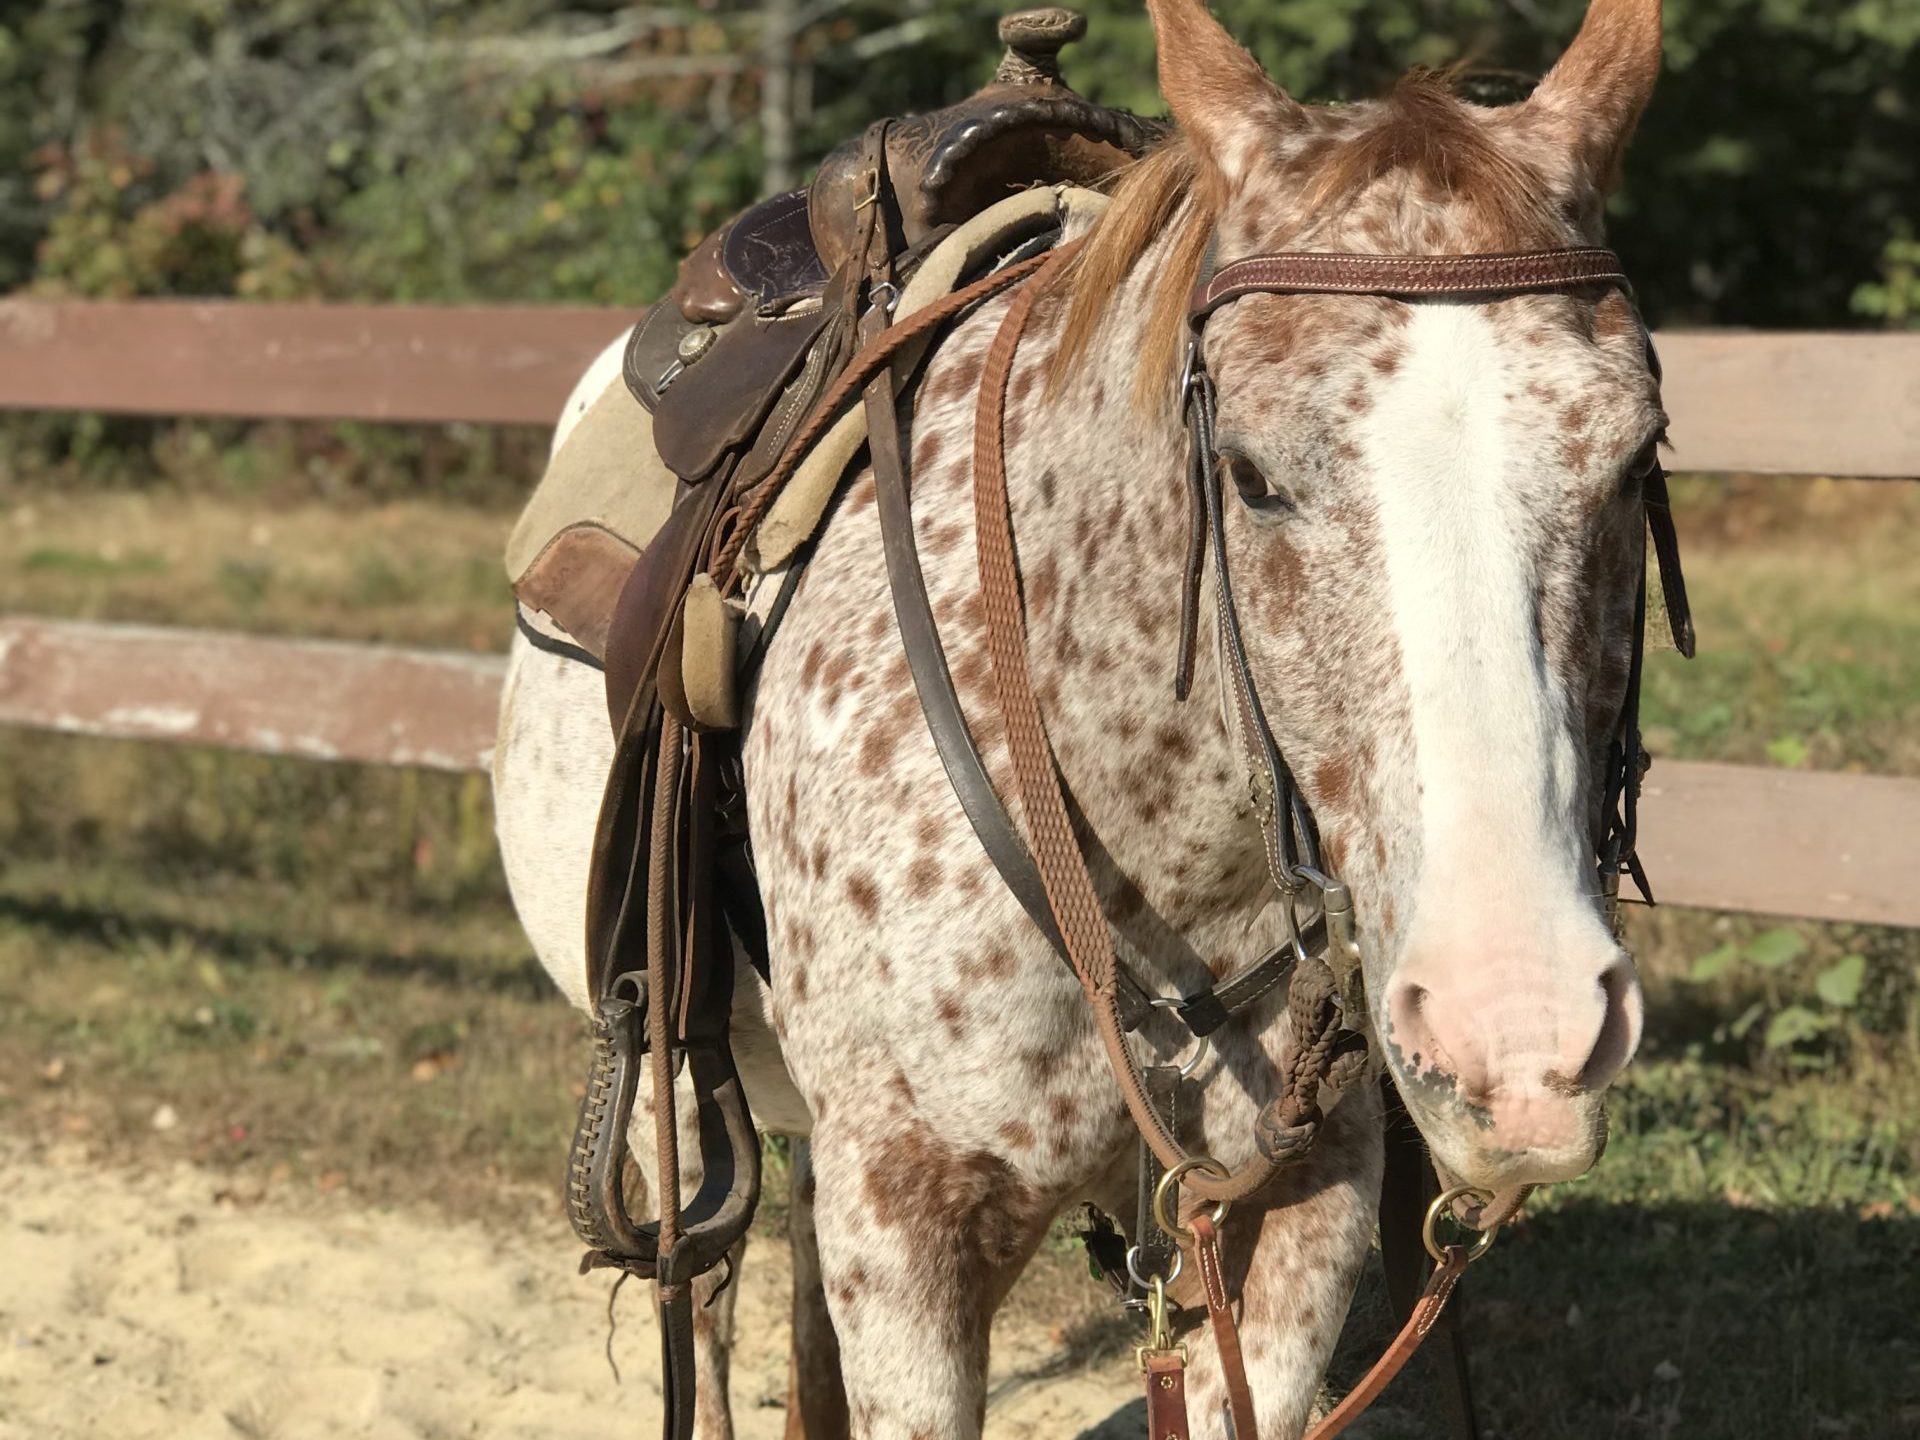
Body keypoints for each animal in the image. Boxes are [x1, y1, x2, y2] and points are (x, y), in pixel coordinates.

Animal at [493, 0, 1672, 1433]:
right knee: (707, 1305)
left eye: (1636, 461)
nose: (1519, 1033)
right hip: (682, 1107)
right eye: (1249, 476)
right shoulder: (907, 1228)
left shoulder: (1300, 1211)